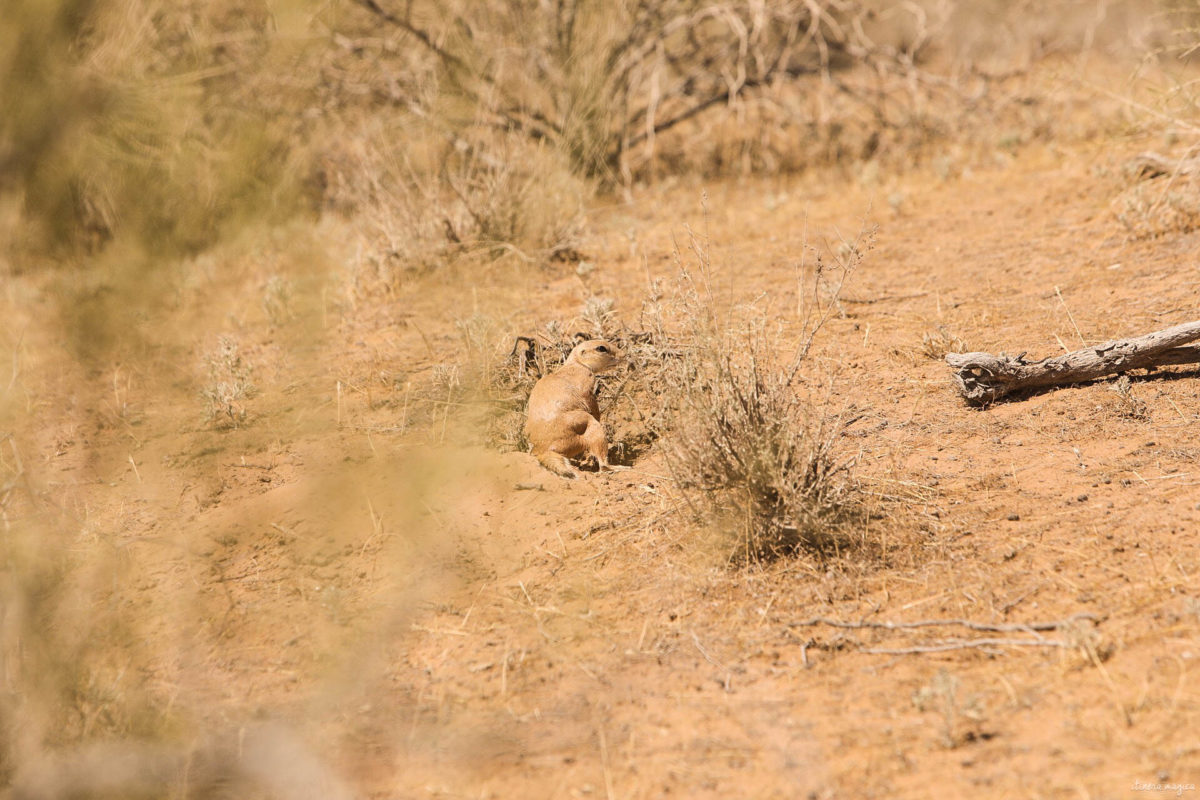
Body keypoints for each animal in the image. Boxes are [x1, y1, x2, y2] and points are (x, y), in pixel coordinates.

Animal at [523, 338, 624, 474]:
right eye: (601, 348)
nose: (623, 354)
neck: (576, 363)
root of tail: (544, 450)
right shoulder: (586, 378)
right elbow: (590, 401)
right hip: (590, 425)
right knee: (603, 465)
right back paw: (619, 467)